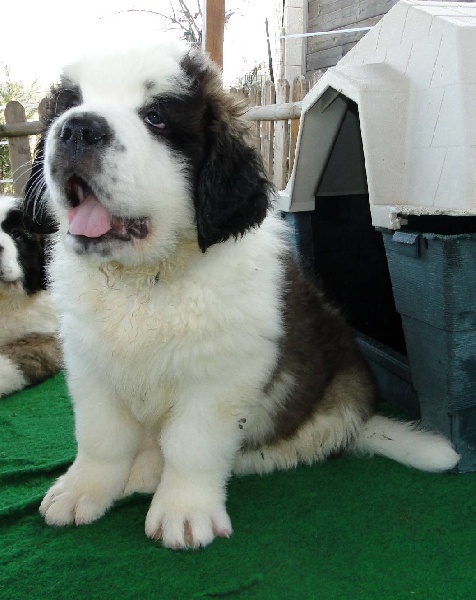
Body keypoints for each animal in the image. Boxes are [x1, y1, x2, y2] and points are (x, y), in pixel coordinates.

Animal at [23, 44, 459, 549]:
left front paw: (184, 511)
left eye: (155, 117)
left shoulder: (221, 375)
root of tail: (359, 420)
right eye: (70, 104)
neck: (147, 279)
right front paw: (83, 490)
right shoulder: (90, 362)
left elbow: (191, 445)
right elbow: (100, 437)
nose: (77, 128)